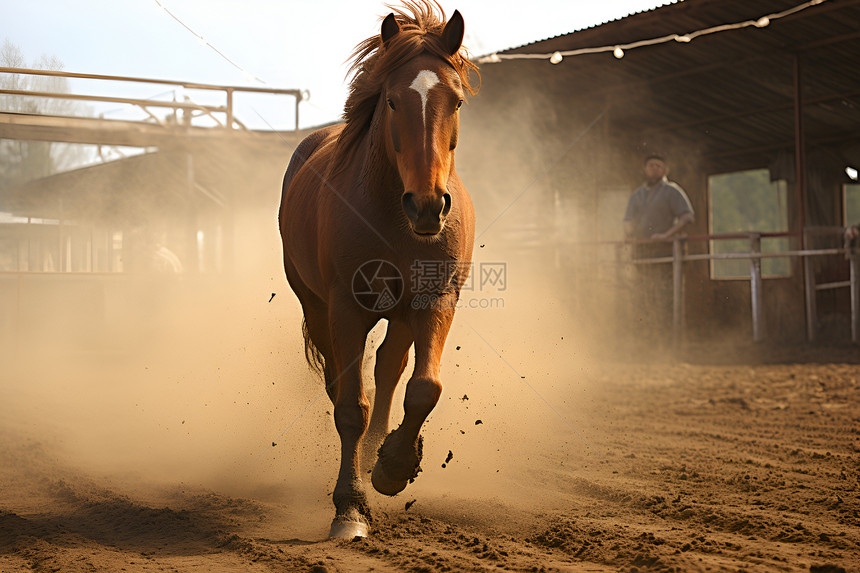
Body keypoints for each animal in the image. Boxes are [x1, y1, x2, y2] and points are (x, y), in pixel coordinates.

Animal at [282, 1, 484, 536]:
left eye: (456, 102)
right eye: (392, 101)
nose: (428, 205)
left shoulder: (434, 300)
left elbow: (424, 387)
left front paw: (393, 466)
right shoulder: (345, 307)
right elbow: (351, 405)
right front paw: (350, 508)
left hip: (402, 314)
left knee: (390, 368)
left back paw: (379, 449)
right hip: (317, 306)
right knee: (342, 381)